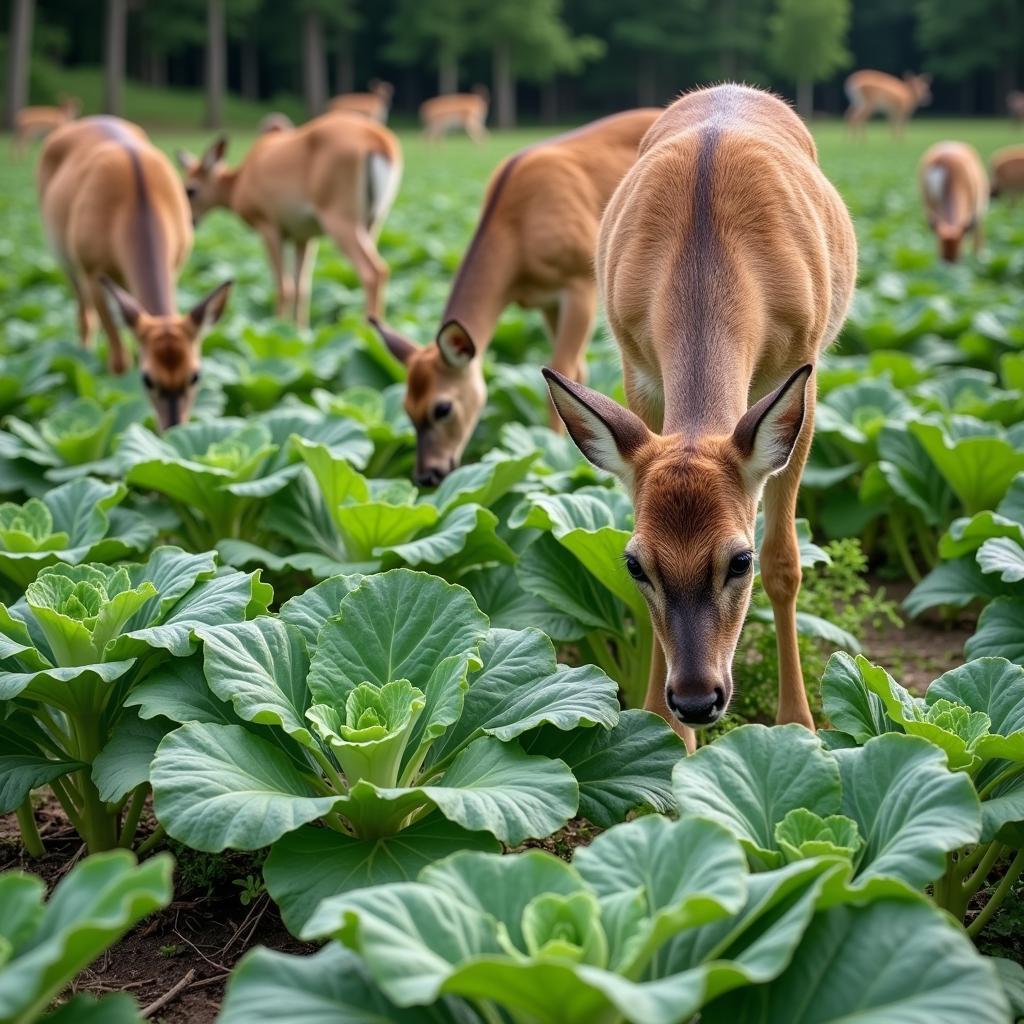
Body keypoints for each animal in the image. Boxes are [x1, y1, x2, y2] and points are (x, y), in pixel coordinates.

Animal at [39, 117, 232, 432]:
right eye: (147, 379)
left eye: (195, 375)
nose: (172, 430)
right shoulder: (93, 272)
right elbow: (119, 359)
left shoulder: (176, 264)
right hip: (64, 256)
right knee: (84, 316)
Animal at [178, 109, 401, 323]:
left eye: (190, 190)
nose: (189, 221)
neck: (240, 181)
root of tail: (379, 141)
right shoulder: (303, 236)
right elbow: (301, 287)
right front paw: (298, 329)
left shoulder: (268, 226)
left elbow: (284, 287)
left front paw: (278, 326)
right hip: (372, 222)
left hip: (339, 219)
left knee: (373, 271)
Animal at [372, 109, 659, 487]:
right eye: (406, 407)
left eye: (442, 407)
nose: (428, 475)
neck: (517, 233)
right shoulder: (545, 301)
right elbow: (577, 368)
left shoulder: (579, 283)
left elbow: (562, 366)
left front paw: (555, 451)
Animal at [544, 83, 856, 749]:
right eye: (635, 563)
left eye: (738, 560)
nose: (694, 699)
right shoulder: (636, 366)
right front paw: (662, 735)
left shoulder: (803, 371)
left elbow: (786, 561)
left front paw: (798, 725)